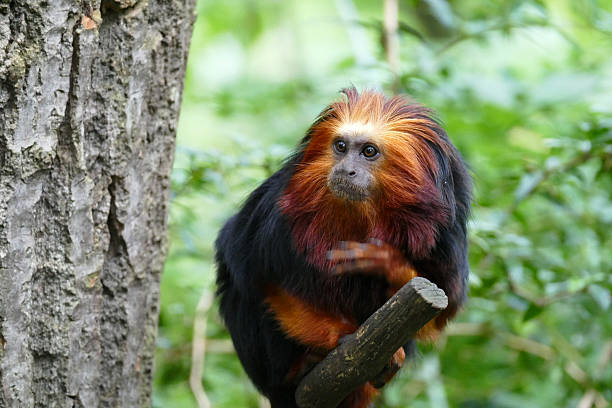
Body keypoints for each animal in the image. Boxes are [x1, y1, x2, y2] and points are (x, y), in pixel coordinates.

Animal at [216, 87, 474, 406]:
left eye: (368, 152)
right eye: (340, 146)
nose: (346, 169)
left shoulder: (446, 235)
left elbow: (440, 310)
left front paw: (387, 262)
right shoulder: (273, 214)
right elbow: (263, 279)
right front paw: (338, 337)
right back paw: (301, 368)